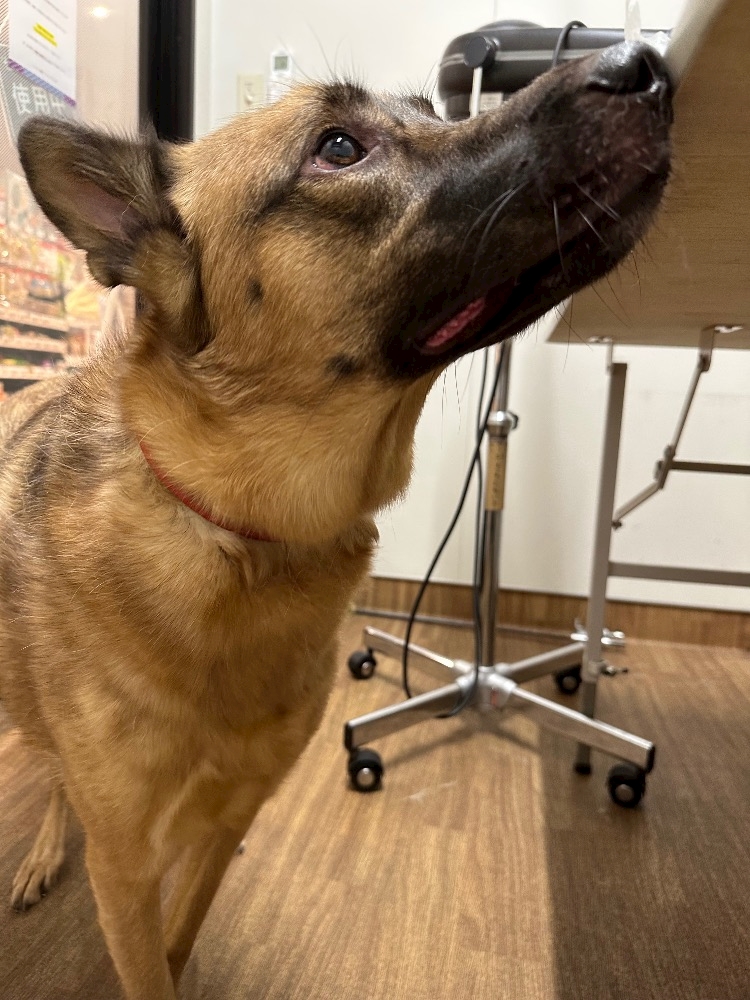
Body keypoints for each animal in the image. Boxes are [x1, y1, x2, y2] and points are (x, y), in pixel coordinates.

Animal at [0, 41, 672, 1000]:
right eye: (340, 148)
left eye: (429, 109)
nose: (644, 61)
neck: (242, 539)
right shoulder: (125, 873)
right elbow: (144, 951)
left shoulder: (227, 824)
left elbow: (179, 942)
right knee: (51, 764)